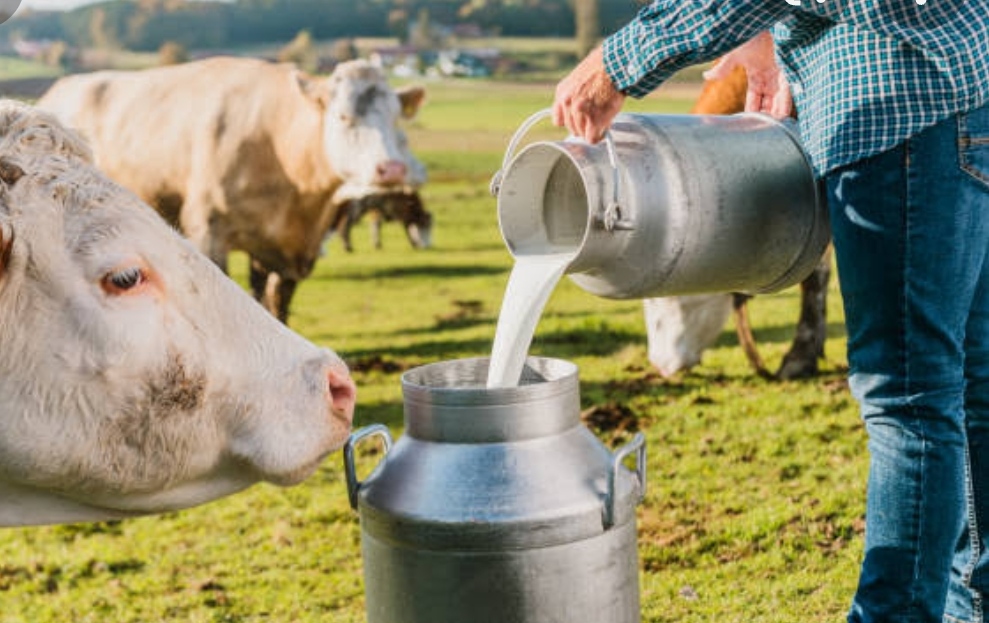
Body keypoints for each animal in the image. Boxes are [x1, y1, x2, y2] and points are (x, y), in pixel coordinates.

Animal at [37, 54, 424, 322]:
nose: (393, 168)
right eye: (344, 117)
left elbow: (275, 303)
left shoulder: (281, 251)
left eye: (396, 117)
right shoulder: (208, 231)